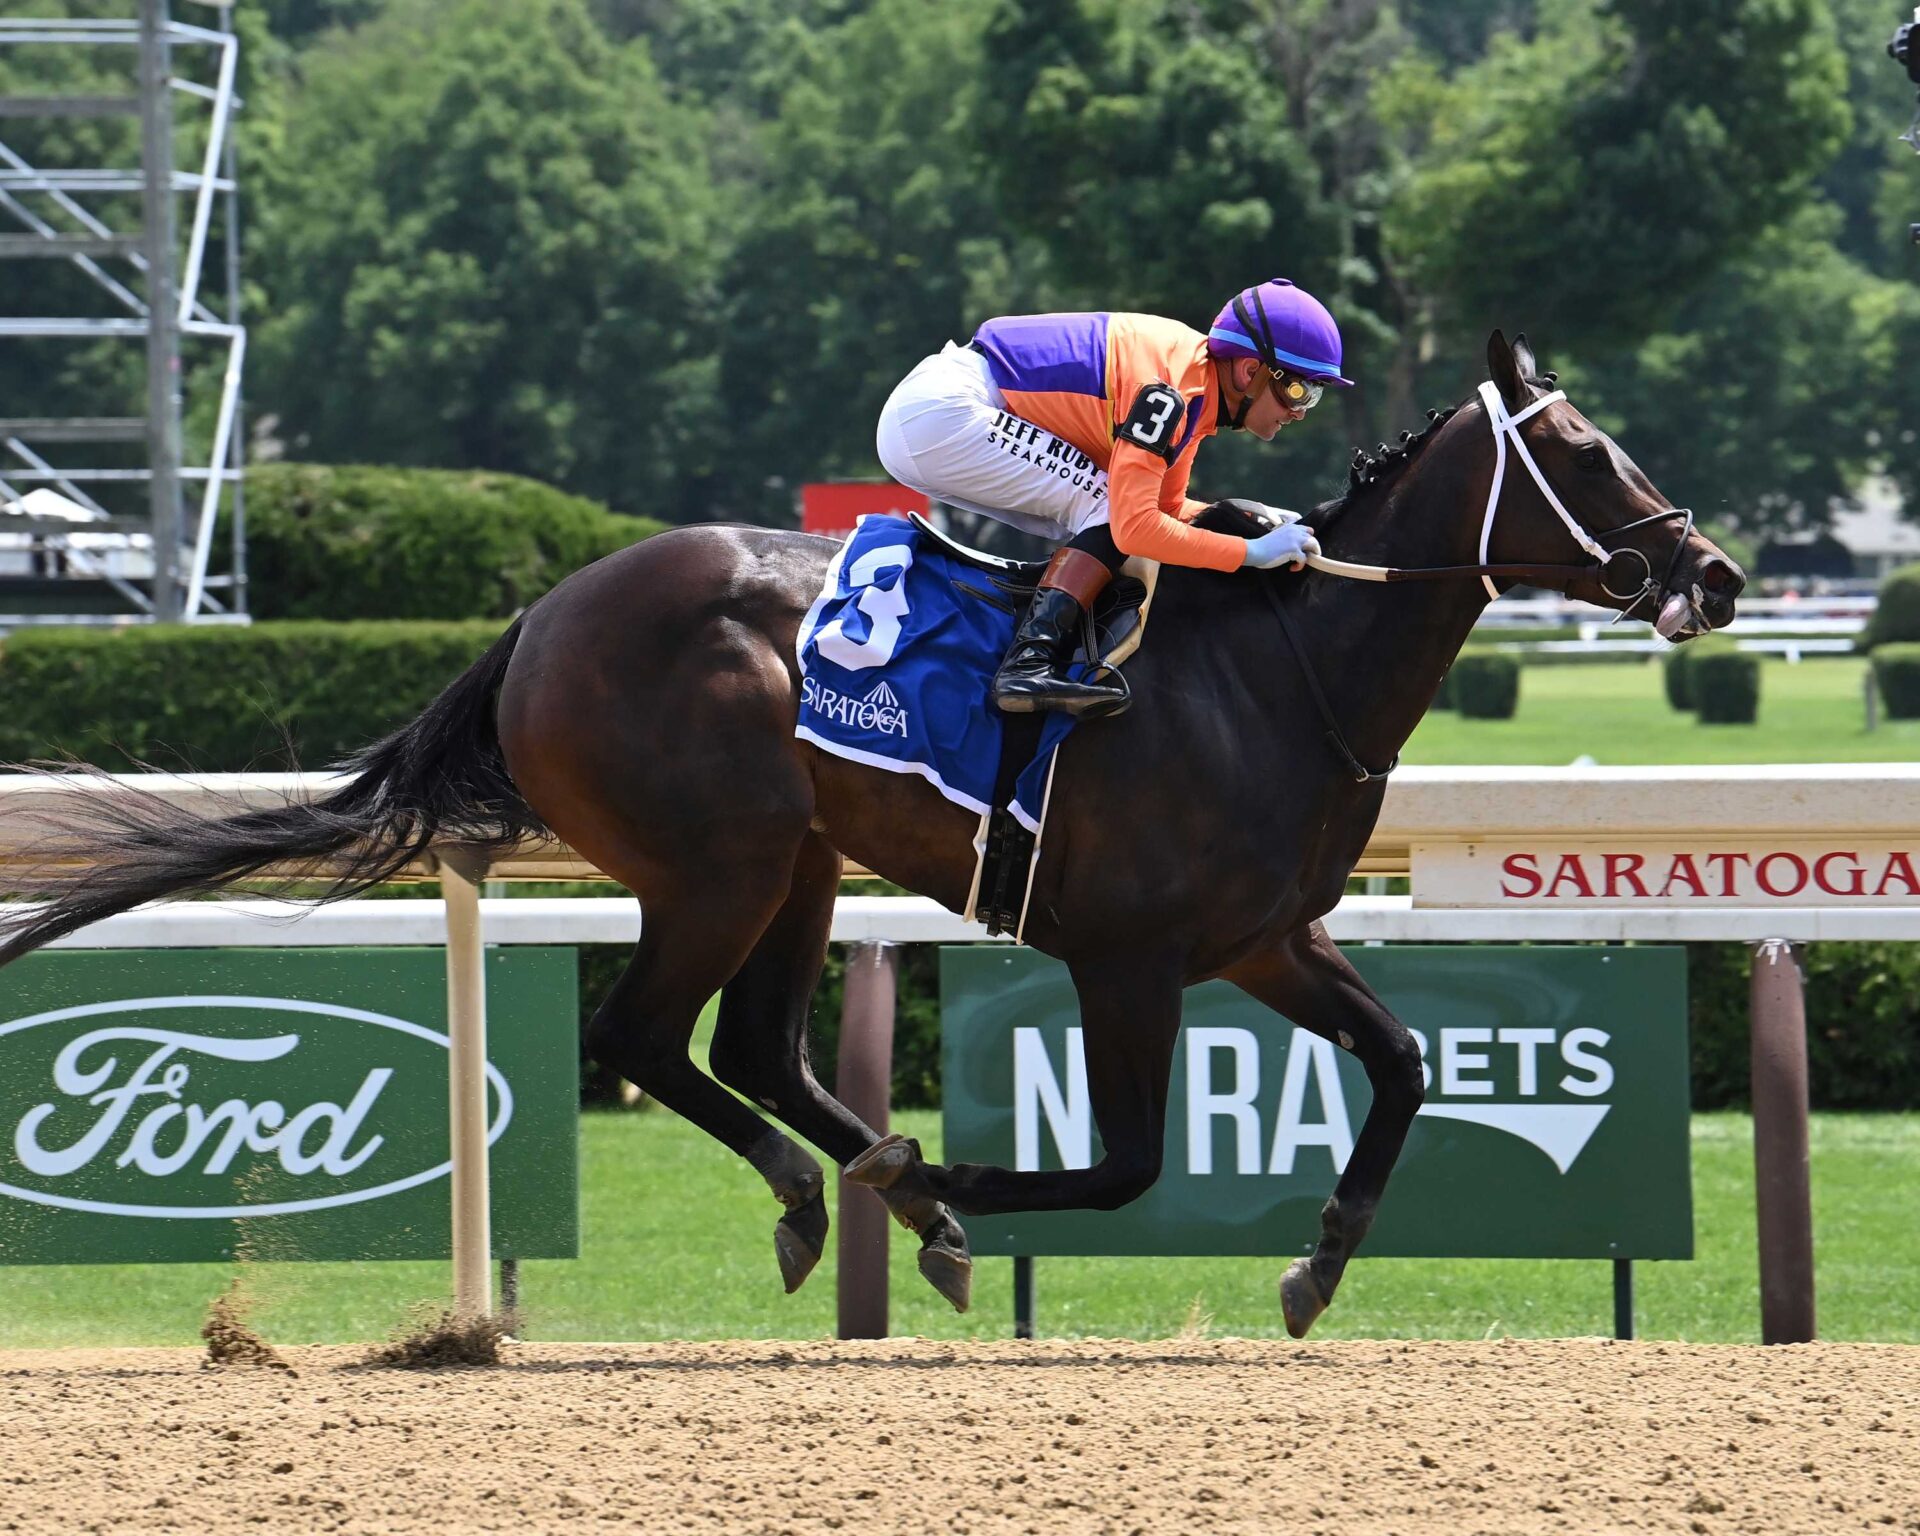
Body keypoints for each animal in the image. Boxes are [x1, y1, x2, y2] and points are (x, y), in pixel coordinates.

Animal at [0, 331, 1744, 1338]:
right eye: (1582, 452)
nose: (1715, 574)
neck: (1281, 669)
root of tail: (540, 616)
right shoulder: (1128, 957)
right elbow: (1121, 1164)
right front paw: (939, 1180)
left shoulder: (1266, 938)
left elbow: (1401, 1063)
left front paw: (1317, 1266)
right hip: (717, 858)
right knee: (645, 1035)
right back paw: (855, 1189)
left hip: (801, 864)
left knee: (749, 1048)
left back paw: (851, 1187)